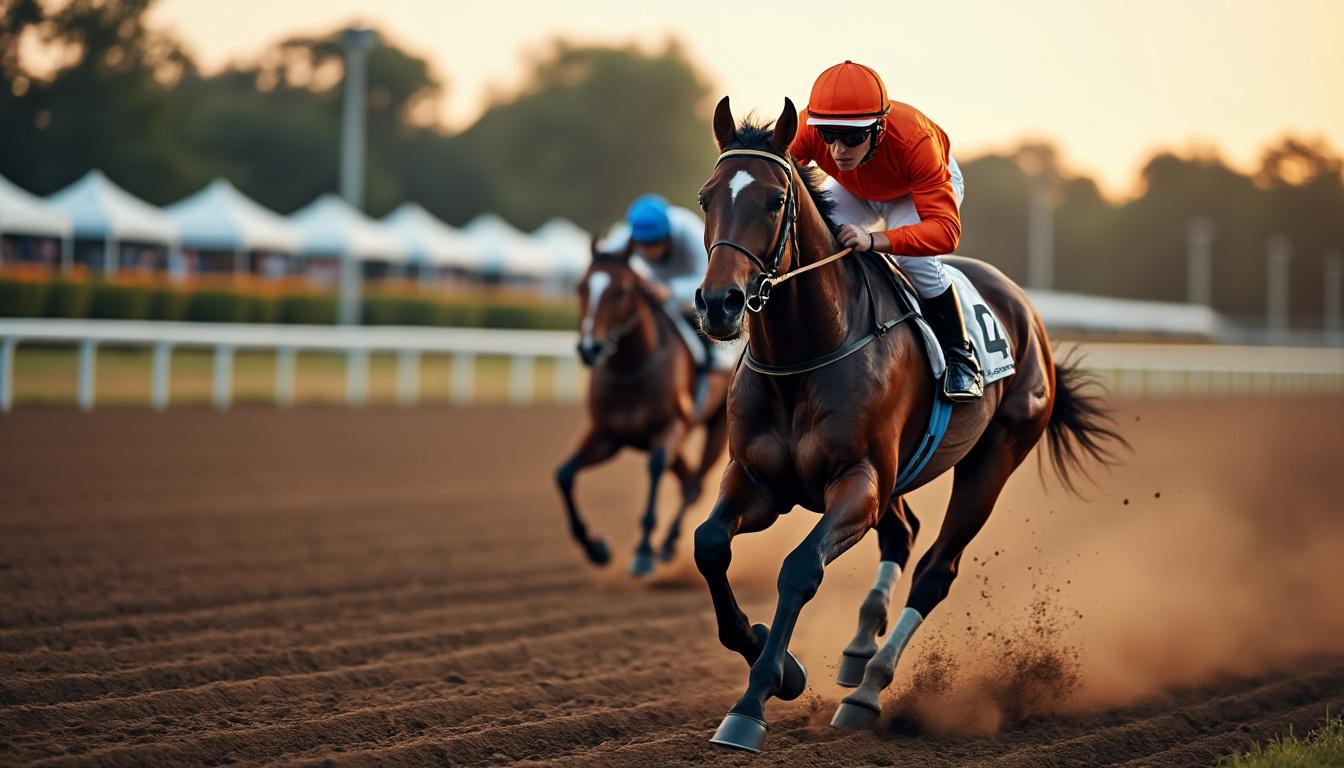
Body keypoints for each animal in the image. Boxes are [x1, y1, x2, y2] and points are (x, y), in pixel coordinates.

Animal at [555, 239, 732, 576]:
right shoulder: (608, 434)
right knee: (688, 480)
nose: (589, 349)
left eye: (620, 291)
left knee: (695, 484)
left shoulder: (670, 427)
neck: (630, 369)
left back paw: (668, 543)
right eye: (581, 286)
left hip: (718, 428)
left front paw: (644, 550)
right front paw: (596, 548)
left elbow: (655, 468)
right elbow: (564, 475)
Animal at [690, 97, 1126, 752]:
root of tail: (1027, 311)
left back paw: (868, 690)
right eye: (705, 196)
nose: (719, 304)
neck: (803, 355)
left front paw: (755, 700)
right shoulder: (758, 480)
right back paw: (857, 650)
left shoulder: (858, 482)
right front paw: (780, 664)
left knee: (935, 569)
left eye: (772, 200)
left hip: (992, 458)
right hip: (900, 473)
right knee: (903, 533)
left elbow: (800, 570)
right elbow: (710, 545)